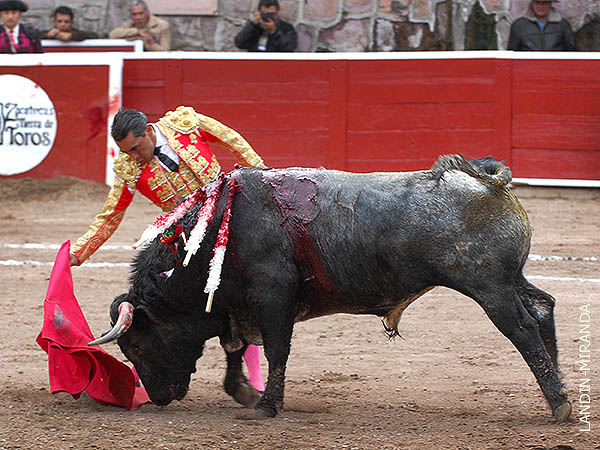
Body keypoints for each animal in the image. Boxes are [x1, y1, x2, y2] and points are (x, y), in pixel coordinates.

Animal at [89, 155, 572, 422]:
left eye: (136, 346)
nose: (158, 398)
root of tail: (486, 178)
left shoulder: (272, 294)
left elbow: (275, 349)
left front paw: (267, 405)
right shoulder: (237, 305)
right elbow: (234, 346)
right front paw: (244, 392)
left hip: (488, 286)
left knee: (523, 329)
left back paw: (560, 404)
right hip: (510, 279)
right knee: (543, 308)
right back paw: (562, 396)